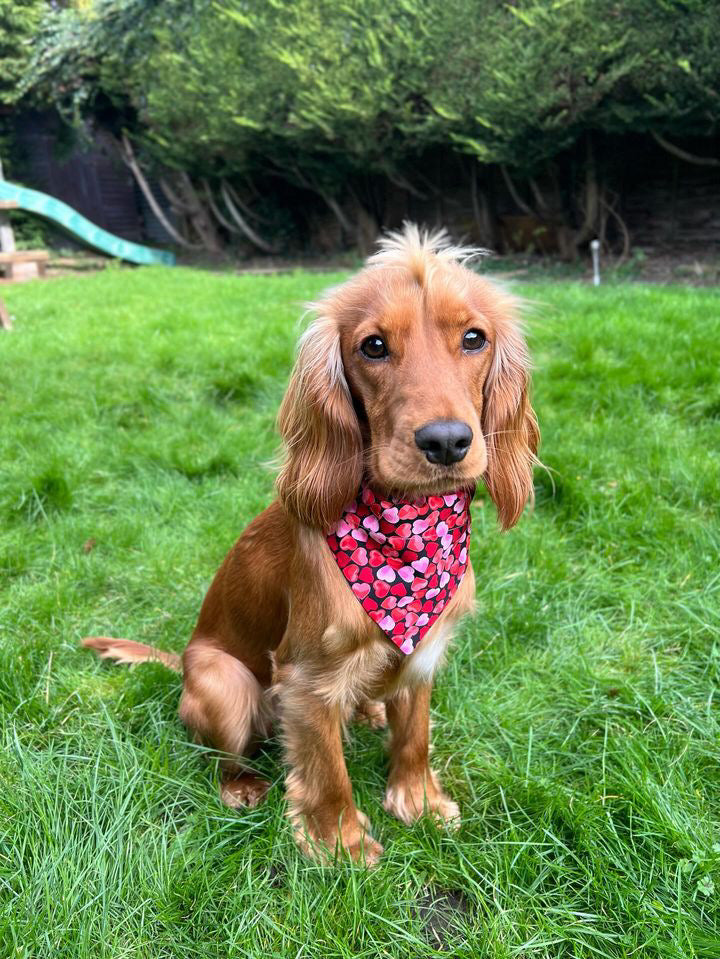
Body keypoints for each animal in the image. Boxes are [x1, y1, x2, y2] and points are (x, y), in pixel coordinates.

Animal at [83, 223, 536, 864]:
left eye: (474, 338)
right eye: (373, 347)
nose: (447, 441)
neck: (408, 533)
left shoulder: (424, 654)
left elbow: (415, 737)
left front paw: (419, 803)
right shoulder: (305, 680)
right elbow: (326, 768)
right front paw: (338, 842)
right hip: (226, 684)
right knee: (225, 753)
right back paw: (242, 786)